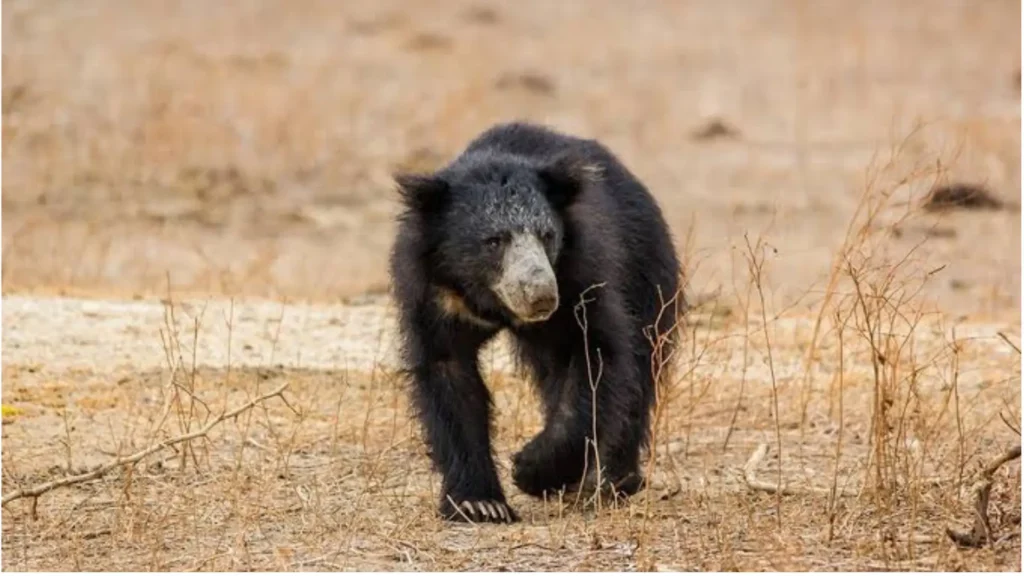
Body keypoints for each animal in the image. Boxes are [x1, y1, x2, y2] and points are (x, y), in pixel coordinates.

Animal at [388, 121, 685, 524]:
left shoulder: (579, 275)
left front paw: (530, 468)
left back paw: (611, 480)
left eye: (547, 235)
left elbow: (592, 354)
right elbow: (448, 375)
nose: (541, 295)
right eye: (493, 241)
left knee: (641, 366)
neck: (487, 300)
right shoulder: (433, 291)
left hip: (645, 267)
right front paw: (481, 505)